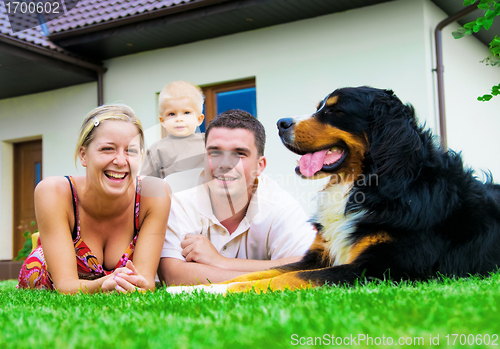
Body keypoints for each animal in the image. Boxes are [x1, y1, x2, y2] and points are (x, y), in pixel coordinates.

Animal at [167, 85, 500, 294]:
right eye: (319, 108)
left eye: (335, 111)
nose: (281, 123)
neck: (368, 184)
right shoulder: (318, 256)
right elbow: (262, 271)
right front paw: (190, 288)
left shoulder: (381, 268)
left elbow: (282, 279)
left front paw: (216, 291)